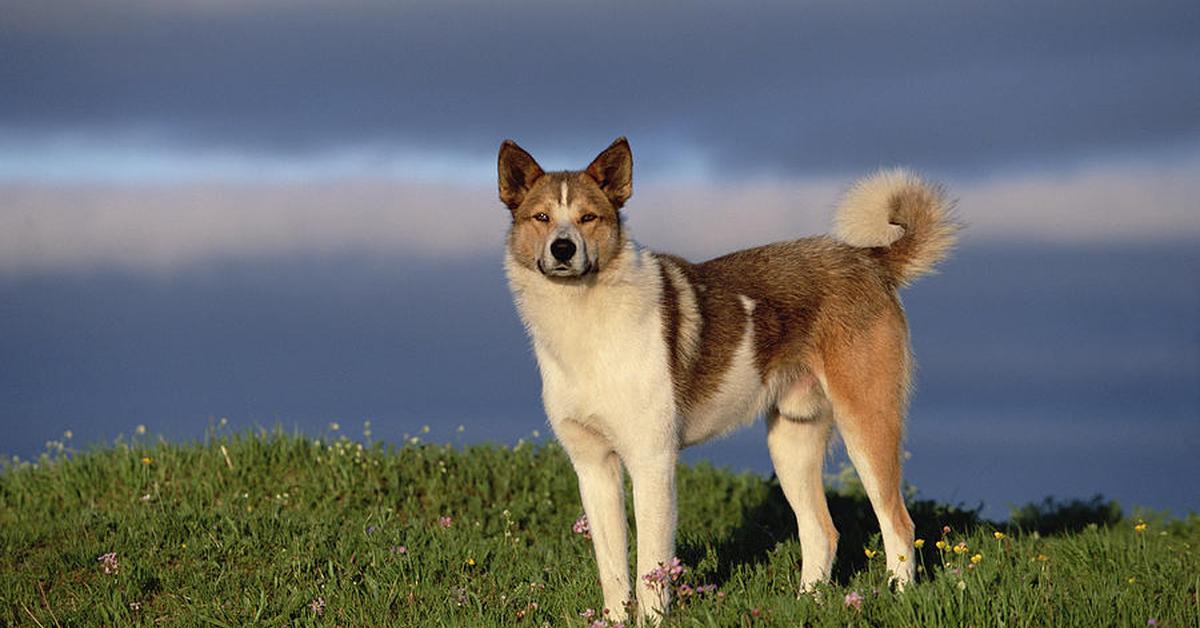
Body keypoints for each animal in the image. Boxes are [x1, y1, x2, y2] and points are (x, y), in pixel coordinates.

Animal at [496, 135, 955, 619]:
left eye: (589, 217)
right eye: (541, 218)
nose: (563, 249)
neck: (584, 317)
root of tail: (869, 260)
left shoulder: (652, 461)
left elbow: (650, 570)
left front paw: (653, 621)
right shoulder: (593, 468)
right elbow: (613, 571)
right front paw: (617, 621)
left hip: (867, 426)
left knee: (898, 523)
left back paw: (898, 598)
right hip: (791, 444)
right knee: (822, 531)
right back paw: (804, 605)